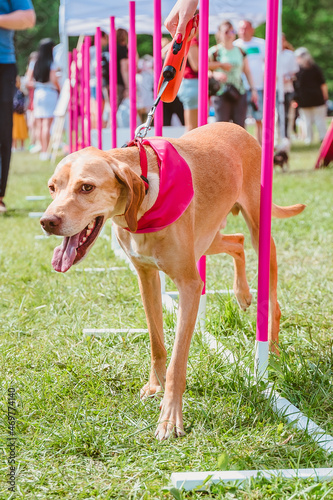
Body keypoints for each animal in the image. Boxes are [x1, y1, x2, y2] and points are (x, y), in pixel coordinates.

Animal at [39, 123, 304, 440]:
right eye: (52, 187)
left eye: (86, 187)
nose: (47, 221)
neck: (144, 201)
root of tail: (237, 127)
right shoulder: (147, 279)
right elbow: (157, 343)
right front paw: (155, 385)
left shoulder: (190, 285)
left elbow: (178, 361)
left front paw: (169, 417)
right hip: (209, 239)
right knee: (236, 242)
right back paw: (241, 293)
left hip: (259, 234)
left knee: (270, 295)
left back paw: (272, 349)